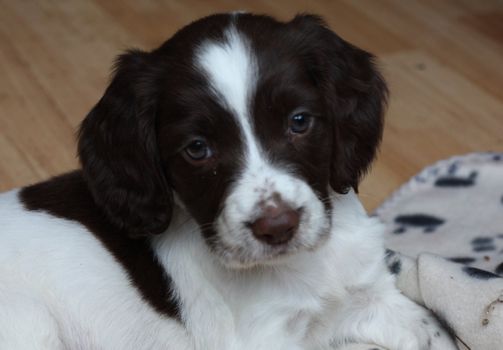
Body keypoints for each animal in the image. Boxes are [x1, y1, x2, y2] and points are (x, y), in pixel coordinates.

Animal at [0, 12, 456, 348]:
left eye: (299, 121)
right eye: (197, 148)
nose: (277, 227)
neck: (302, 268)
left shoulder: (368, 295)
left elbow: (433, 330)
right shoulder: (263, 338)